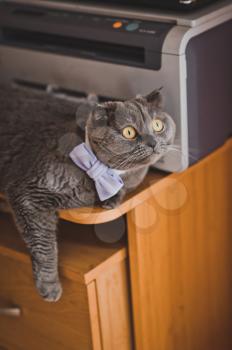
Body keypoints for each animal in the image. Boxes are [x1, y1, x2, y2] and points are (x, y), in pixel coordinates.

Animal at [0, 85, 175, 300]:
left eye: (158, 125)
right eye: (129, 132)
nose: (152, 142)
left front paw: (112, 200)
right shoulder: (29, 193)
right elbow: (43, 245)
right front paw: (49, 287)